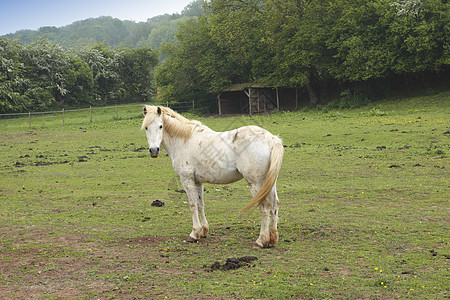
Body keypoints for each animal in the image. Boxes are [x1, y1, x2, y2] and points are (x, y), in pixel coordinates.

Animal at [142, 106, 284, 248]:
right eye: (146, 127)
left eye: (160, 126)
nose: (154, 150)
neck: (184, 140)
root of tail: (270, 138)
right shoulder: (198, 182)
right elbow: (200, 204)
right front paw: (203, 231)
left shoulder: (187, 179)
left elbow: (192, 204)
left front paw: (194, 234)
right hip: (269, 183)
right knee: (274, 205)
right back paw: (272, 239)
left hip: (255, 184)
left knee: (265, 206)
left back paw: (261, 240)